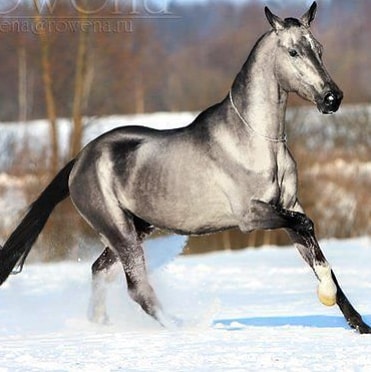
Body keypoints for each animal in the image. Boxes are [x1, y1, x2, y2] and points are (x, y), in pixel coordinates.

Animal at [0, 2, 370, 334]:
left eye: (319, 50)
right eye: (293, 52)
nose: (332, 98)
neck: (256, 140)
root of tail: (81, 159)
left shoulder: (289, 206)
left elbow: (318, 254)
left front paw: (358, 324)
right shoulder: (251, 216)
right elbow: (307, 227)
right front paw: (329, 297)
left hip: (136, 227)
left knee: (99, 271)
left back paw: (101, 326)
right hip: (119, 230)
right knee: (137, 288)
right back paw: (182, 326)